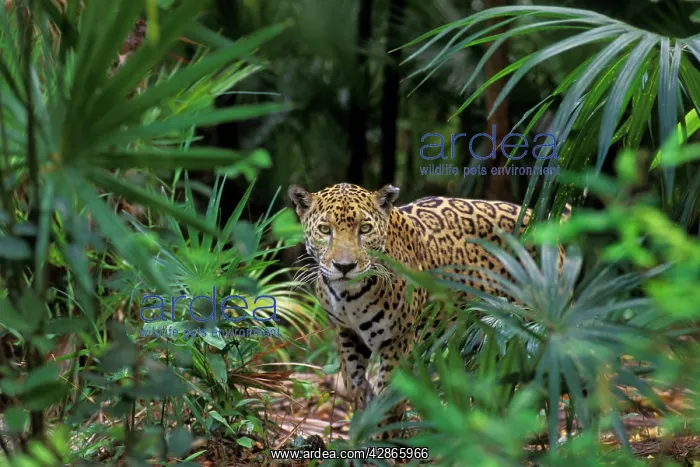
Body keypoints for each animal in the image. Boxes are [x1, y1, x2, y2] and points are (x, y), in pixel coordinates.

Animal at [288, 182, 568, 414]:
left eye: (364, 229)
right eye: (325, 229)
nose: (344, 266)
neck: (348, 297)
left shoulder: (399, 344)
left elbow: (388, 404)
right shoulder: (346, 334)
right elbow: (355, 386)